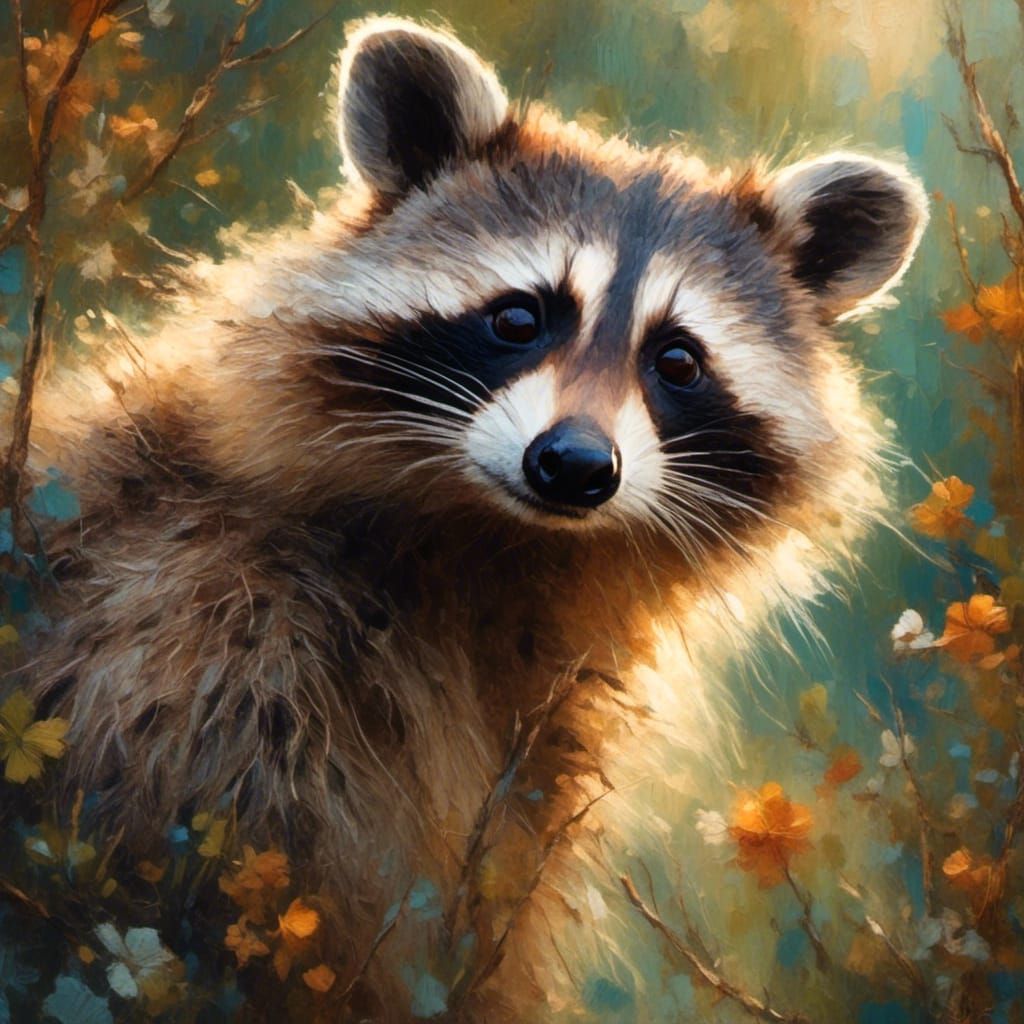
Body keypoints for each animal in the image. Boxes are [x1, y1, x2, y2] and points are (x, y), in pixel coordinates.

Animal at [20, 15, 926, 1020]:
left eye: (678, 361)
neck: (497, 547)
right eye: (519, 317)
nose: (575, 466)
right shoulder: (214, 634)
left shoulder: (535, 747)